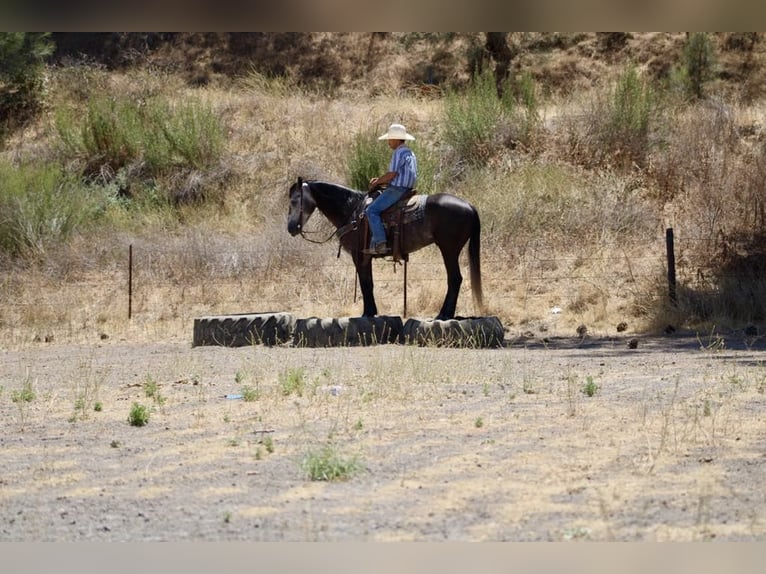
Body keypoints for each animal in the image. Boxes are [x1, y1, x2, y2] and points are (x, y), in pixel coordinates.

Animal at [287, 178, 484, 320]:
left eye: (295, 200)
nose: (291, 228)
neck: (352, 210)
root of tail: (470, 206)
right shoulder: (365, 257)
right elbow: (369, 283)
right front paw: (371, 311)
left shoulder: (359, 256)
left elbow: (366, 283)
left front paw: (368, 312)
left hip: (449, 249)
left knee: (455, 279)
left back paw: (444, 314)